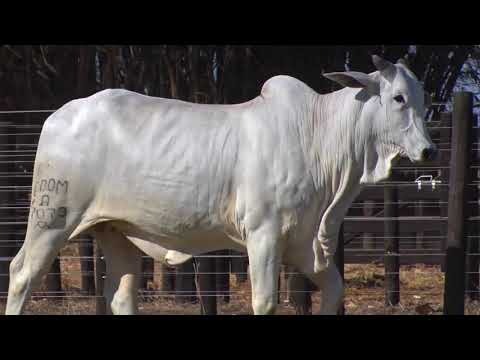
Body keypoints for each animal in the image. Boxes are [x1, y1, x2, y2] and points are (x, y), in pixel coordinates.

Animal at [4, 54, 436, 316]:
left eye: (423, 98)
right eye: (398, 98)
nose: (429, 150)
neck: (319, 136)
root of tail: (59, 114)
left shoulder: (304, 244)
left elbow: (334, 291)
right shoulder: (263, 236)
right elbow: (265, 302)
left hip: (115, 231)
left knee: (121, 294)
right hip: (53, 217)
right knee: (22, 273)